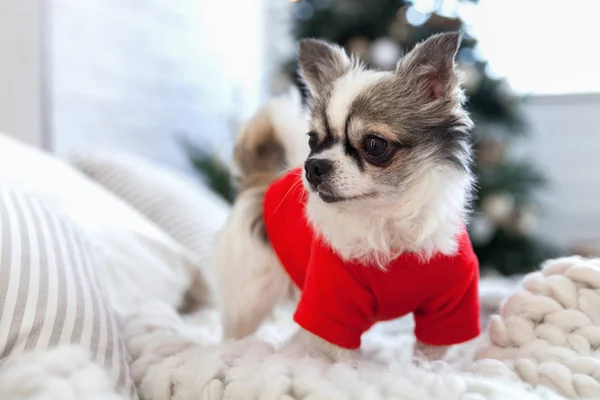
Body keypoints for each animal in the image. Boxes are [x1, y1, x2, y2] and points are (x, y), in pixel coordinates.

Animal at [213, 32, 480, 360]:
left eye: (374, 145)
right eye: (312, 140)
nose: (313, 166)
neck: (387, 222)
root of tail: (260, 179)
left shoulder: (450, 305)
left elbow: (429, 356)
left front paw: (427, 370)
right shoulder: (330, 302)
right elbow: (343, 358)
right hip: (250, 289)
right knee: (238, 328)